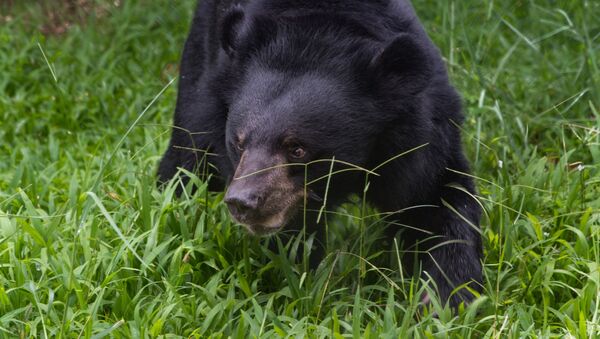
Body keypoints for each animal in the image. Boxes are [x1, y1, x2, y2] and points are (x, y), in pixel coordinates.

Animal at [158, 0, 482, 308]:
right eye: (239, 143)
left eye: (297, 148)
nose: (242, 202)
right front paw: (302, 284)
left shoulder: (422, 136)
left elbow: (438, 197)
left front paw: (448, 299)